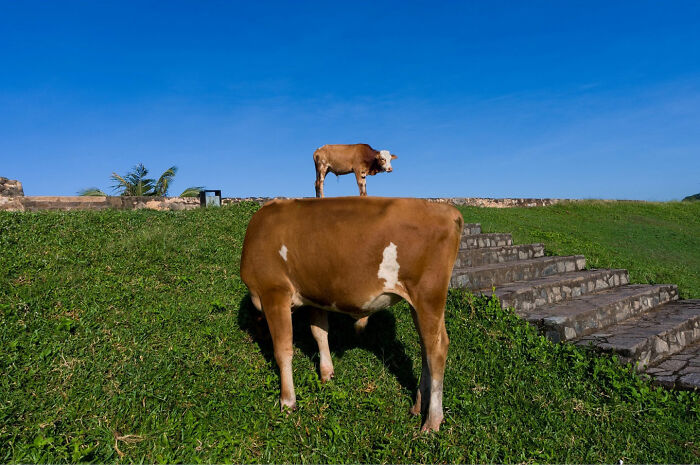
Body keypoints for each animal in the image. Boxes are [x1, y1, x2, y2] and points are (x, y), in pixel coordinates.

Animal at [240, 197, 463, 432]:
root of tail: (448, 210)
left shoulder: (274, 291)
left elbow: (283, 350)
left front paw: (287, 401)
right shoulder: (315, 295)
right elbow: (319, 332)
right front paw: (326, 373)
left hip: (428, 295)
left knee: (436, 350)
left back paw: (432, 421)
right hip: (419, 303)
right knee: (425, 348)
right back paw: (419, 405)